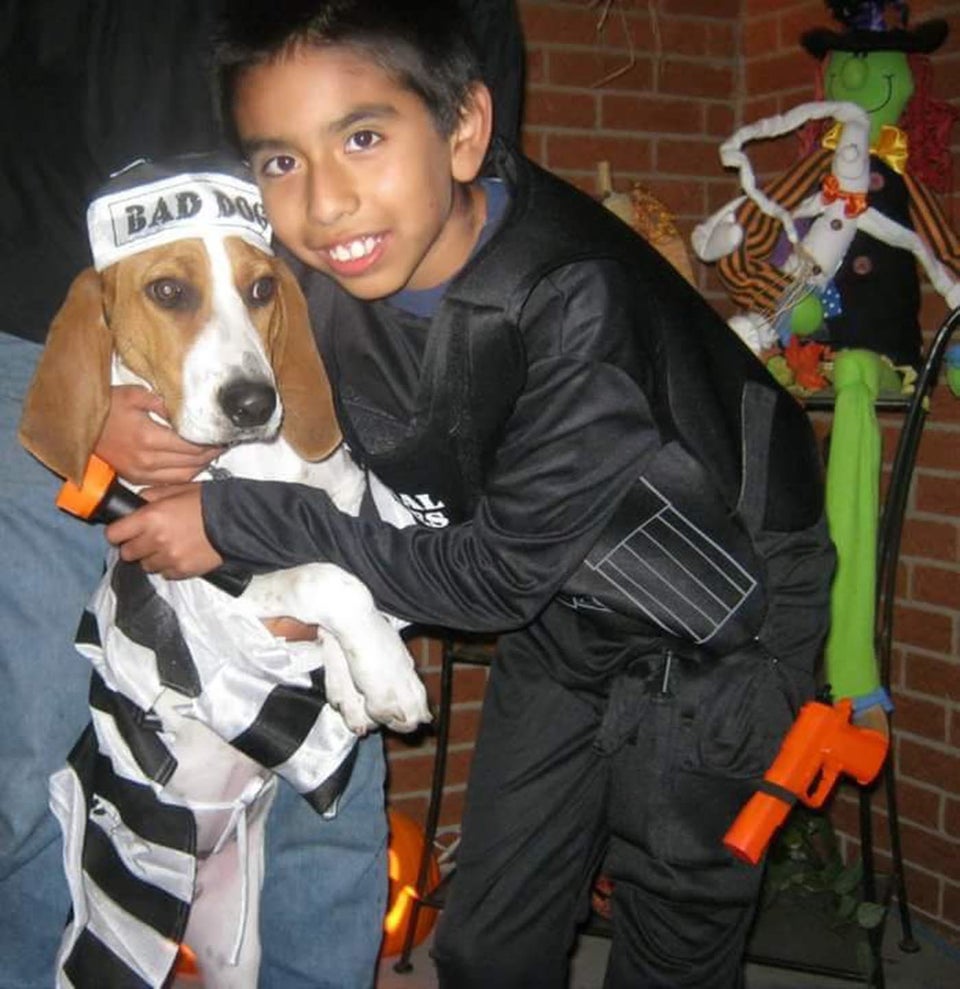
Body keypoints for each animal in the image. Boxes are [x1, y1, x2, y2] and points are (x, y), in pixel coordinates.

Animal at [16, 160, 430, 988]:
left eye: (263, 288)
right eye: (168, 291)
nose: (253, 401)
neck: (250, 468)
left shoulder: (340, 515)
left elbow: (349, 569)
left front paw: (356, 678)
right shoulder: (213, 578)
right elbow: (331, 575)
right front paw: (389, 676)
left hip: (236, 949)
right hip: (115, 933)